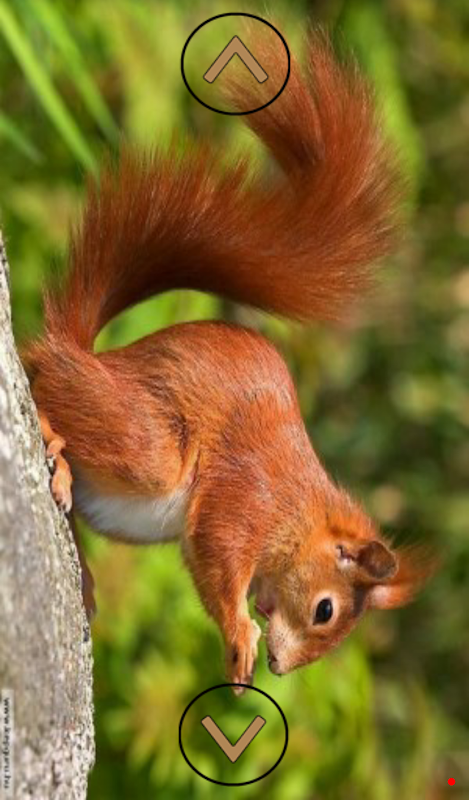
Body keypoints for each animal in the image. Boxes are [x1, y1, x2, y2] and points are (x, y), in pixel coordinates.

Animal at [23, 32, 435, 695]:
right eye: (325, 610)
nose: (282, 667)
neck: (297, 510)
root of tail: (83, 355)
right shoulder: (245, 497)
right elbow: (217, 557)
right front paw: (241, 640)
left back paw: (80, 566)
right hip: (148, 442)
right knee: (42, 381)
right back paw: (50, 439)